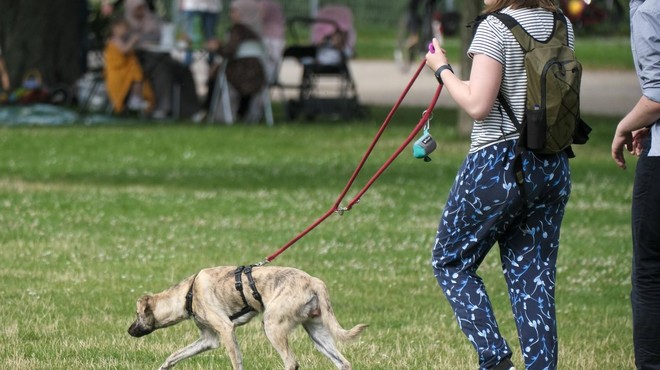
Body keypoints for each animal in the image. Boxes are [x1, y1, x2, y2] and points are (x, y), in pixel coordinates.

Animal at [129, 266, 366, 370]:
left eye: (137, 314)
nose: (129, 331)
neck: (188, 293)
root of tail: (314, 281)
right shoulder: (208, 339)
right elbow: (175, 355)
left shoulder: (226, 330)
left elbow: (236, 362)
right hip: (318, 334)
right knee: (343, 363)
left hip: (272, 326)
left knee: (291, 362)